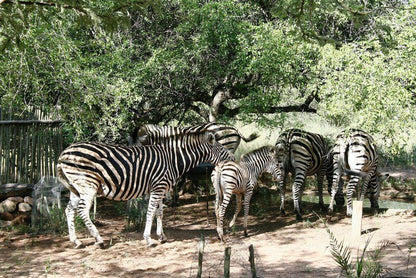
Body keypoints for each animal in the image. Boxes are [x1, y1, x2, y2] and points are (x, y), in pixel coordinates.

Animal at [57, 129, 234, 248]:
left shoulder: (161, 189)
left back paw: (76, 241)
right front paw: (148, 239)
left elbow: (159, 212)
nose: (233, 158)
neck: (172, 159)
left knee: (69, 210)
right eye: (221, 149)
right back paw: (98, 239)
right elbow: (150, 212)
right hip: (87, 185)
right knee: (82, 210)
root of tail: (64, 153)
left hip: (76, 187)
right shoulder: (158, 187)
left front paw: (162, 236)